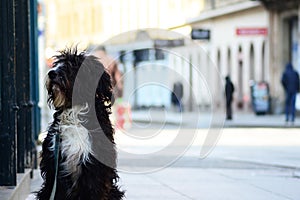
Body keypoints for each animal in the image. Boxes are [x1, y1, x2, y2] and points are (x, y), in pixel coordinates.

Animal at [37, 48, 124, 200]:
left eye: (73, 65)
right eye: (57, 63)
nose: (52, 73)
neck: (74, 115)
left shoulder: (94, 169)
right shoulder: (54, 167)